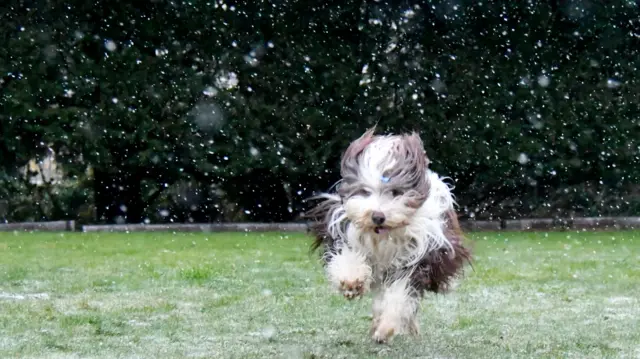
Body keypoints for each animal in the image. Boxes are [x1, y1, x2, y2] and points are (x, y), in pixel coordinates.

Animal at [302, 128, 472, 344]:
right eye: (365, 191)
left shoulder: (418, 255)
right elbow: (348, 256)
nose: (377, 216)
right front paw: (351, 282)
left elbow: (401, 291)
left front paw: (386, 328)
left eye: (396, 192)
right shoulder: (343, 229)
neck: (385, 236)